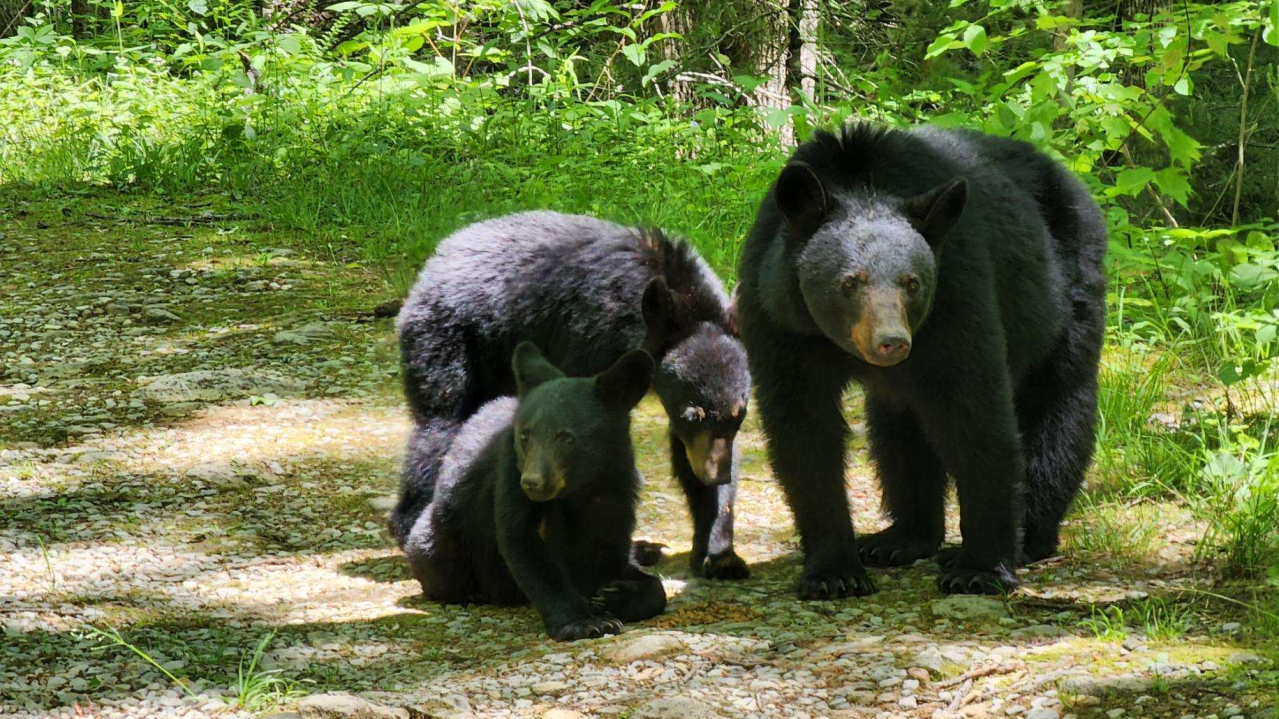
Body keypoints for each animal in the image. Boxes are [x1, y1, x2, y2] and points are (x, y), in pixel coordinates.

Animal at [390, 211, 753, 580]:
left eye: (739, 415)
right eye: (692, 414)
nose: (716, 475)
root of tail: (435, 259)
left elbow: (687, 453)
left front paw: (719, 553)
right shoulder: (589, 339)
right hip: (448, 339)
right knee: (438, 427)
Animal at [404, 342, 666, 641]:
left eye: (568, 438)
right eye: (525, 435)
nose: (532, 482)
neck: (580, 489)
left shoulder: (618, 481)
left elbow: (611, 543)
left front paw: (616, 594)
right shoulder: (509, 471)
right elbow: (522, 541)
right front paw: (585, 622)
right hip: (442, 544)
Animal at [735, 124, 1106, 597]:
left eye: (911, 283)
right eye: (849, 282)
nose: (892, 342)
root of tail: (1068, 178)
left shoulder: (956, 292)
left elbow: (975, 415)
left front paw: (980, 568)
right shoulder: (778, 318)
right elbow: (804, 429)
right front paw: (833, 573)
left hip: (1066, 294)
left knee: (1058, 410)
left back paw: (1030, 536)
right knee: (899, 431)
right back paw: (899, 540)